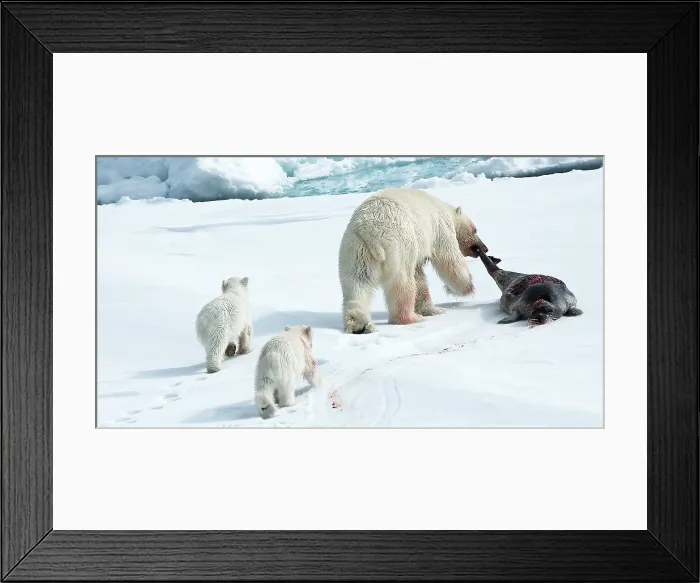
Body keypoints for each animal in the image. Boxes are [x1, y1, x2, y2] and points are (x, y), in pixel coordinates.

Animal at [337, 187, 488, 334]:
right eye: (475, 230)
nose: (485, 248)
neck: (444, 208)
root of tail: (369, 231)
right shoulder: (441, 229)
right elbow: (450, 260)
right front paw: (466, 288)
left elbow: (419, 277)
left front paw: (432, 309)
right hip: (400, 245)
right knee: (403, 283)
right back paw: (411, 318)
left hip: (357, 251)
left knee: (357, 283)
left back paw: (360, 325)